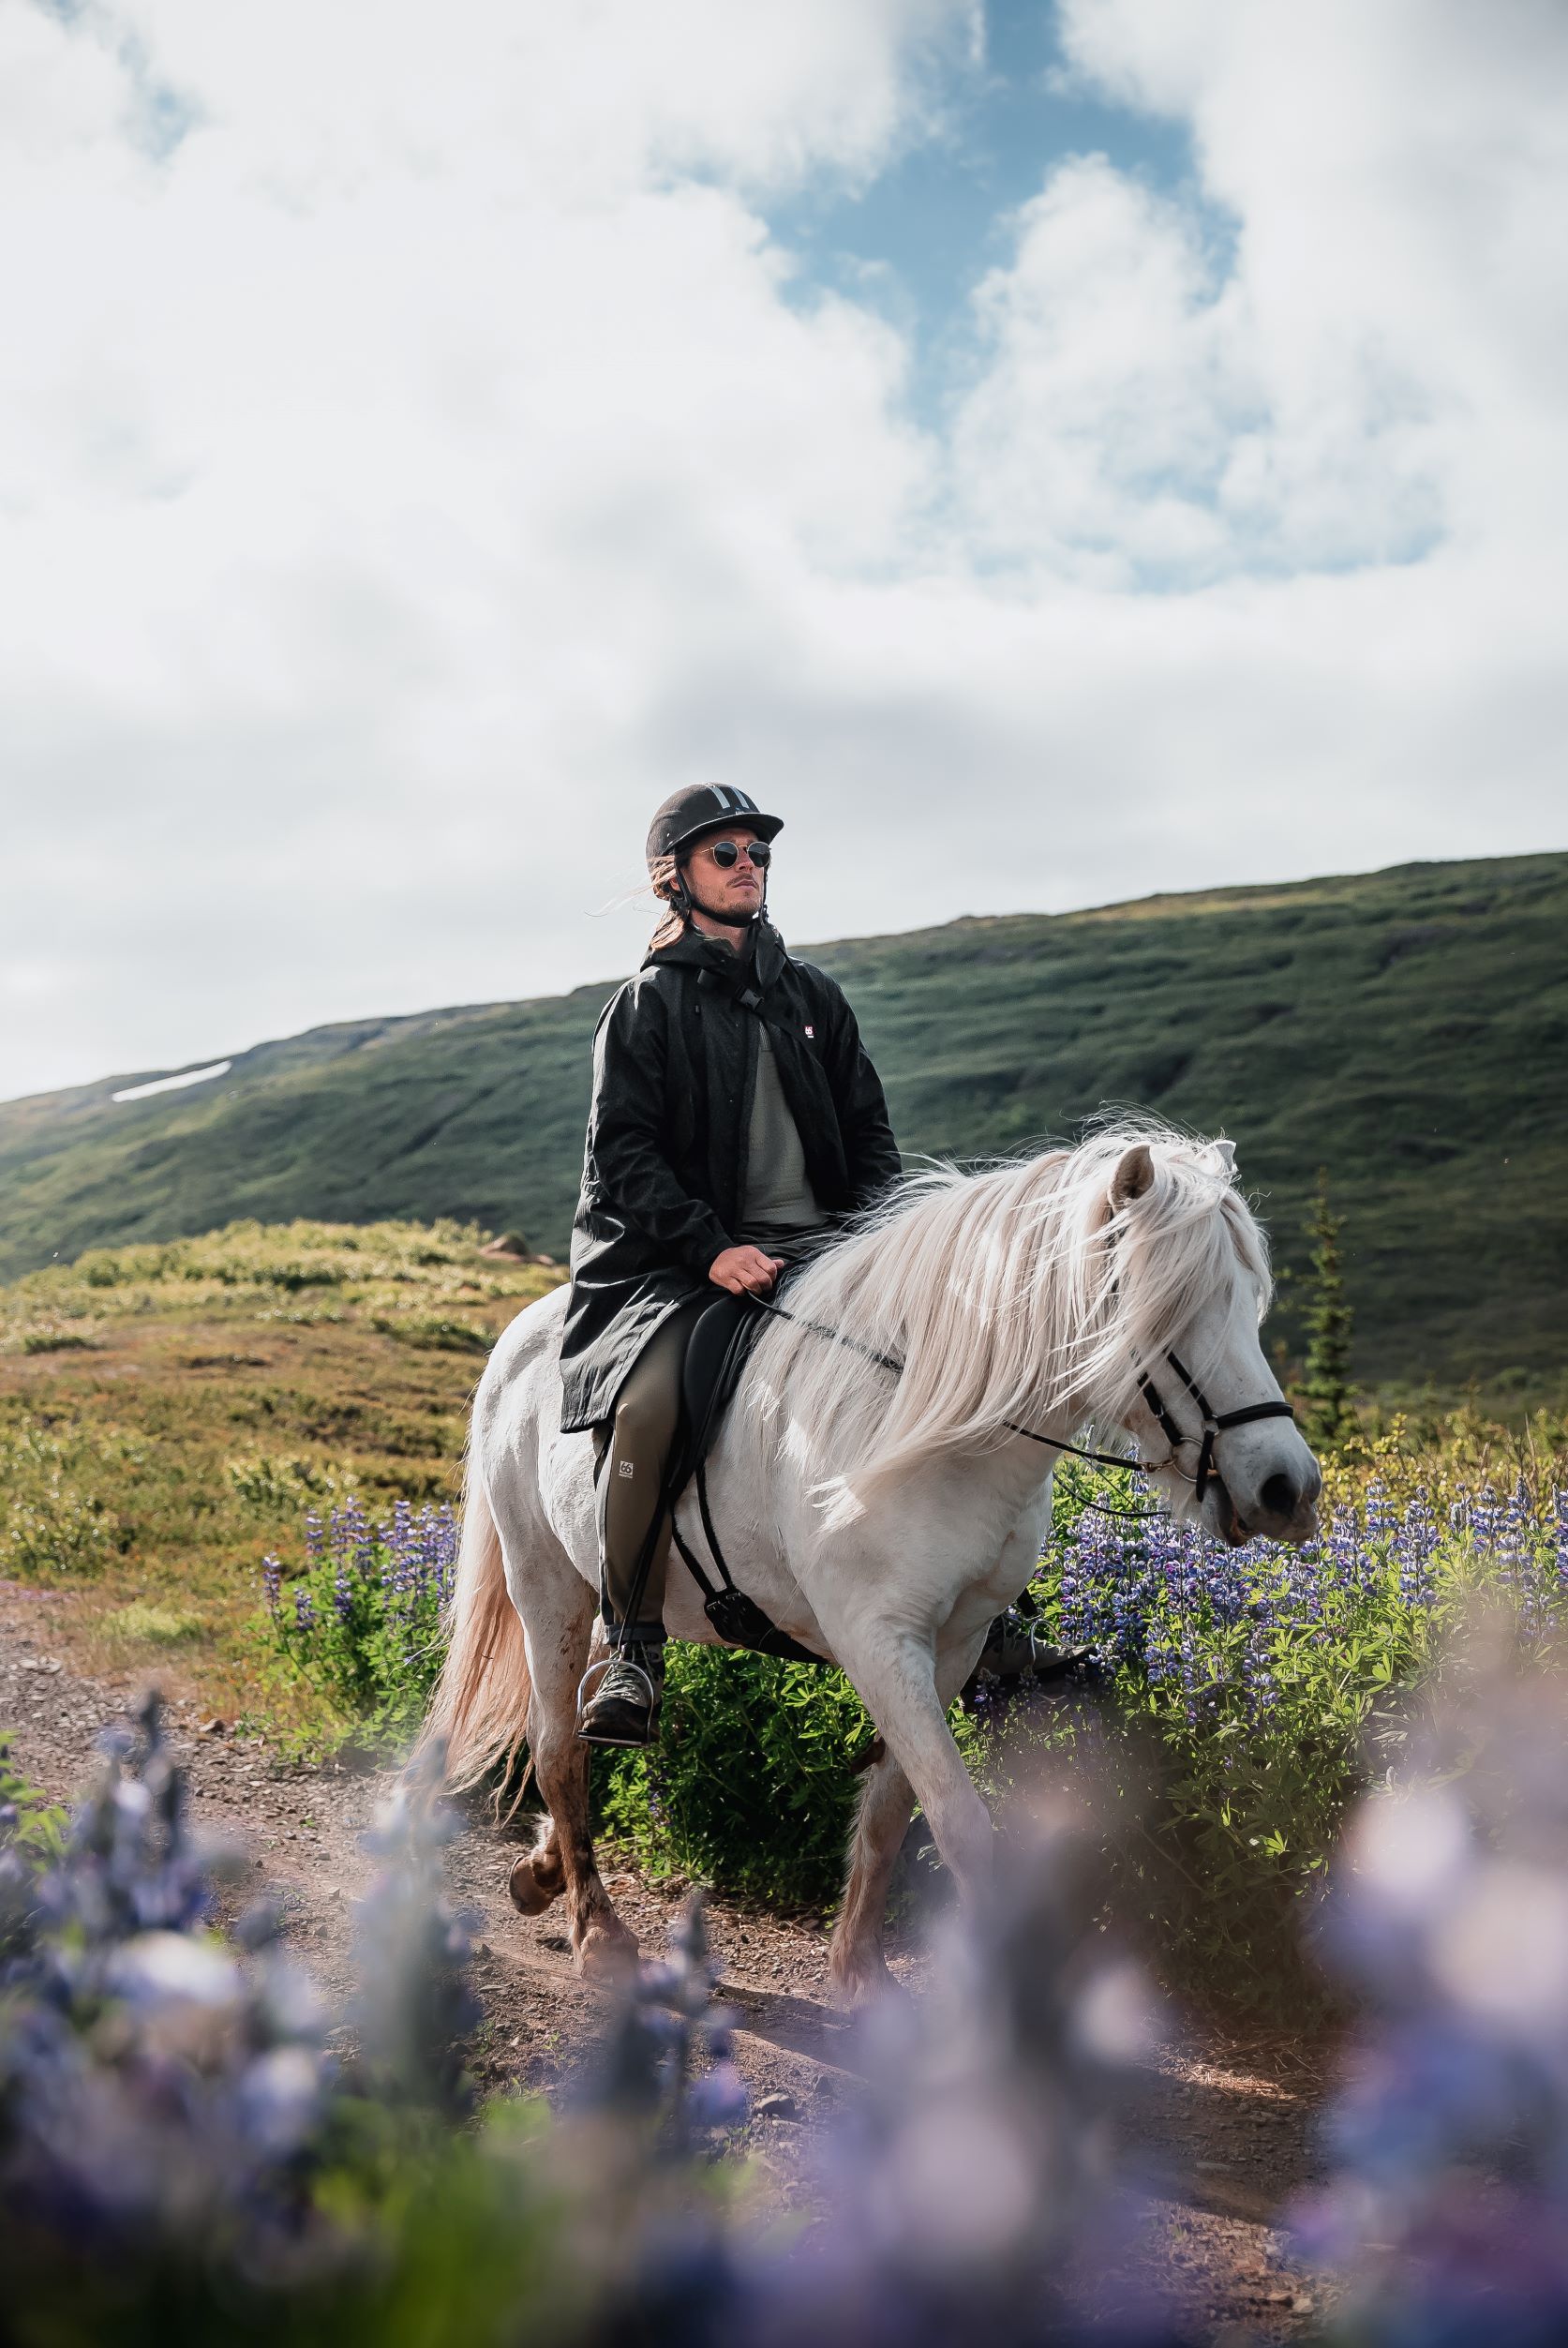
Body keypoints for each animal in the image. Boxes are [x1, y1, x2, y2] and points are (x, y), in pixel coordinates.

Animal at [422, 1127, 1314, 2010]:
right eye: (1170, 1308)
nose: (1287, 1487)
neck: (937, 1423)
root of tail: (521, 1337)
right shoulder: (878, 1640)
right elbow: (960, 1823)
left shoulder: (951, 1644)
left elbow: (891, 1808)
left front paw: (860, 1970)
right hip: (548, 1585)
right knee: (556, 1746)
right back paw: (598, 1932)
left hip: (614, 1594)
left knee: (588, 1703)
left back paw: (544, 1866)